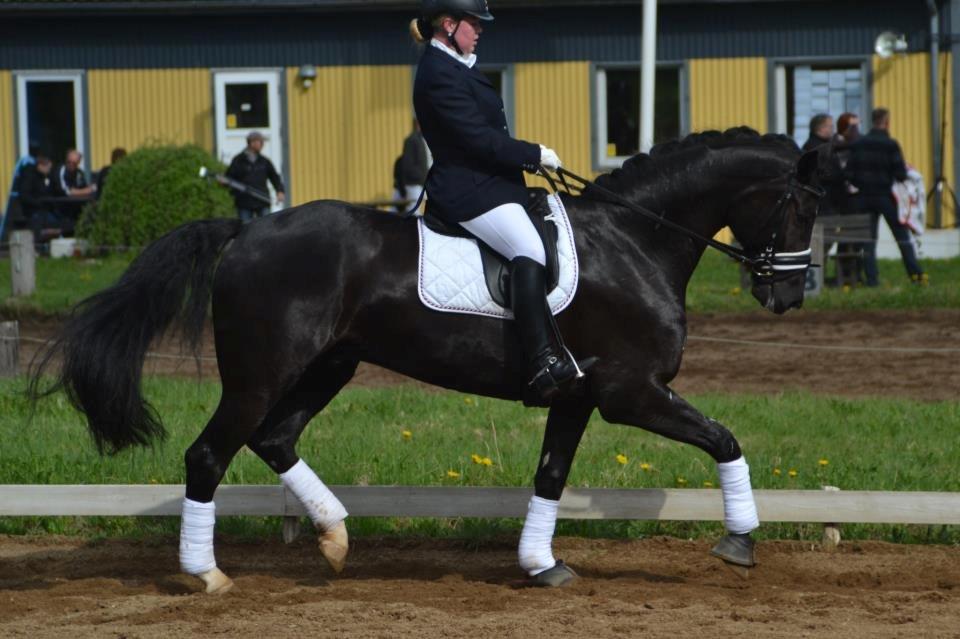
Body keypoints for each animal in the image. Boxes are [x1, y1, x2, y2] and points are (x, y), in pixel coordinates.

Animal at [30, 127, 824, 592]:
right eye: (804, 207)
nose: (785, 294)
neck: (636, 239)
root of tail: (246, 230)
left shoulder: (577, 395)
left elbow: (551, 475)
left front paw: (541, 564)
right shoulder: (631, 391)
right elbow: (724, 439)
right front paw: (740, 541)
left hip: (330, 366)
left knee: (274, 438)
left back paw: (335, 538)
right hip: (262, 373)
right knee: (208, 454)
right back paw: (207, 574)